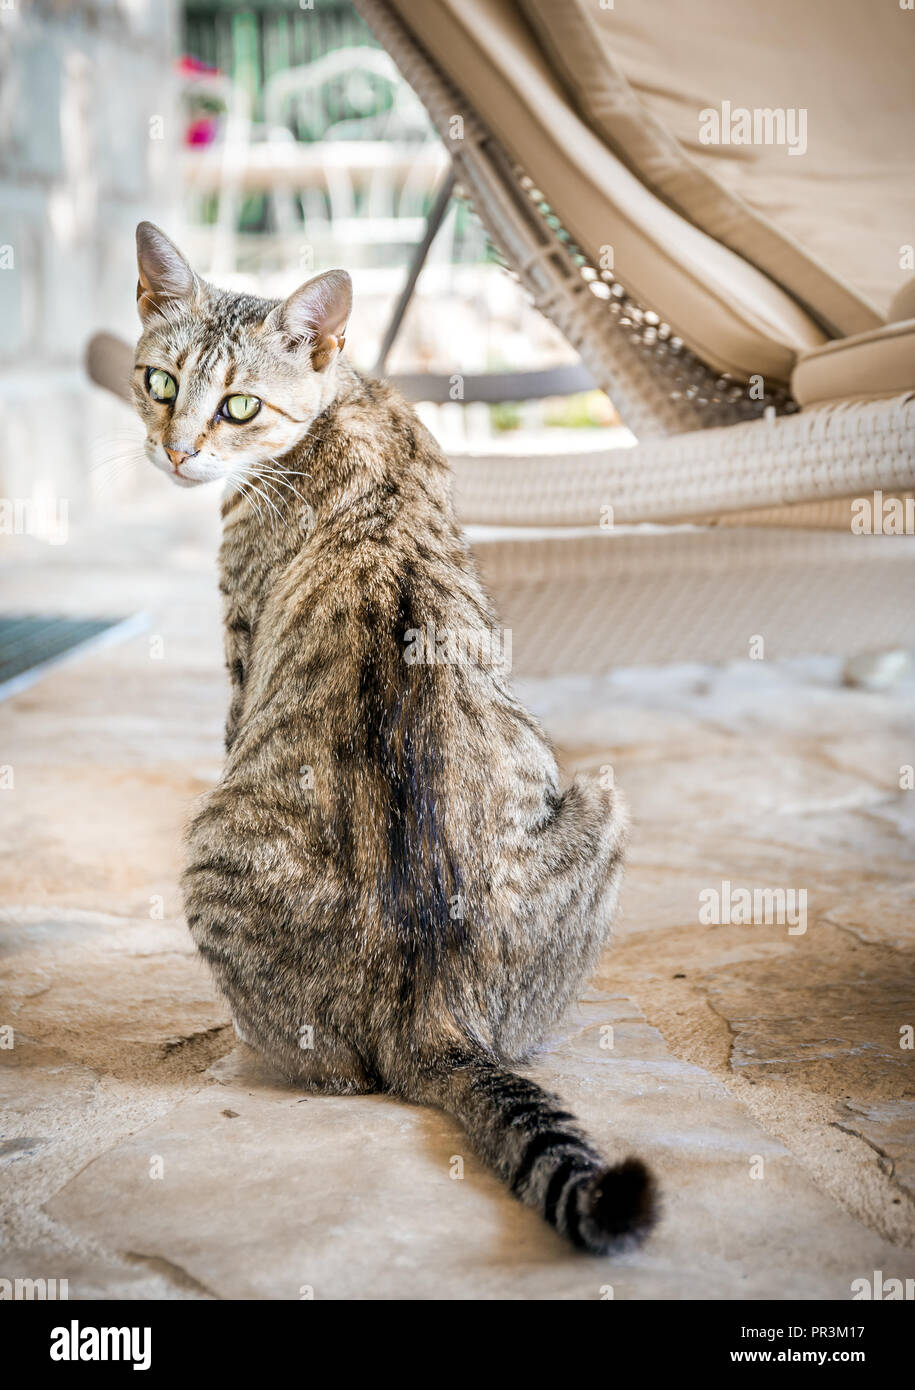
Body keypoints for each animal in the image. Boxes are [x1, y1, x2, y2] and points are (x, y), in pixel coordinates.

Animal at [130, 222, 656, 1256]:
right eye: (160, 382)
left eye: (239, 405)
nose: (175, 452)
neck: (347, 405)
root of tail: (433, 1008)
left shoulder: (239, 648)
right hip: (603, 802)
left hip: (211, 843)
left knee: (333, 1073)